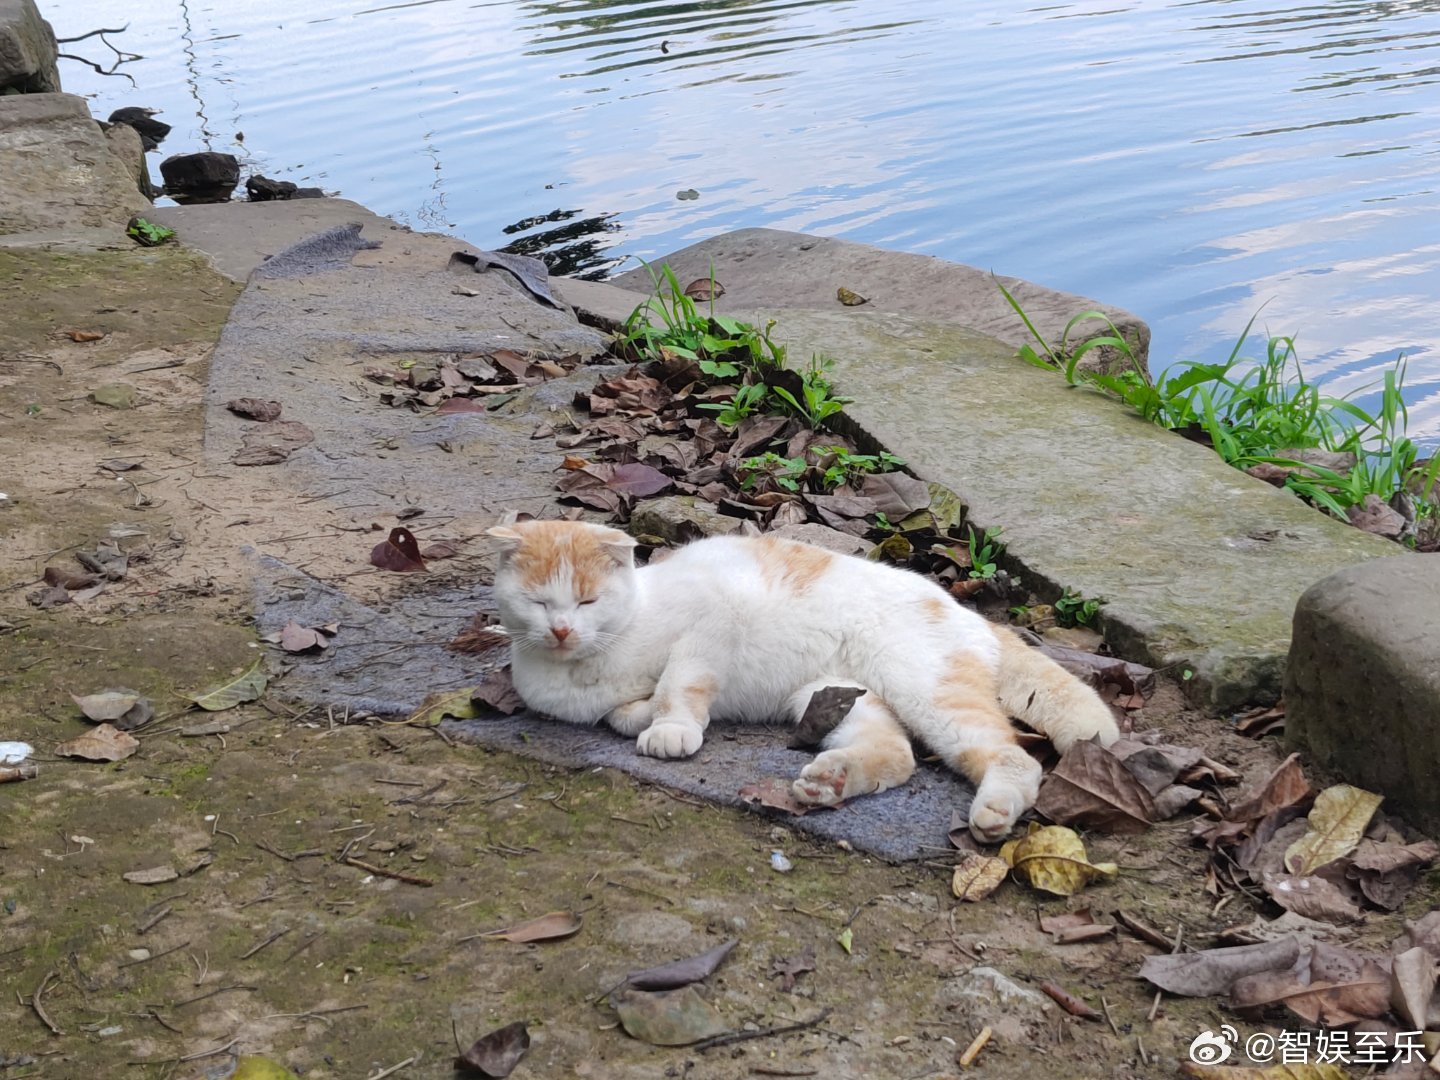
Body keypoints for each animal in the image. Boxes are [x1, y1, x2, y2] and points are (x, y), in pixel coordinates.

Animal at [487, 519, 1119, 842]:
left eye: (587, 600)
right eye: (539, 602)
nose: (562, 630)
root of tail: (971, 613)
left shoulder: (713, 622)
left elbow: (678, 682)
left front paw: (669, 727)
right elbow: (622, 712)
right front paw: (640, 714)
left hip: (930, 693)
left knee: (1014, 759)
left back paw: (995, 812)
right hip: (833, 697)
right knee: (897, 756)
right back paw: (831, 782)